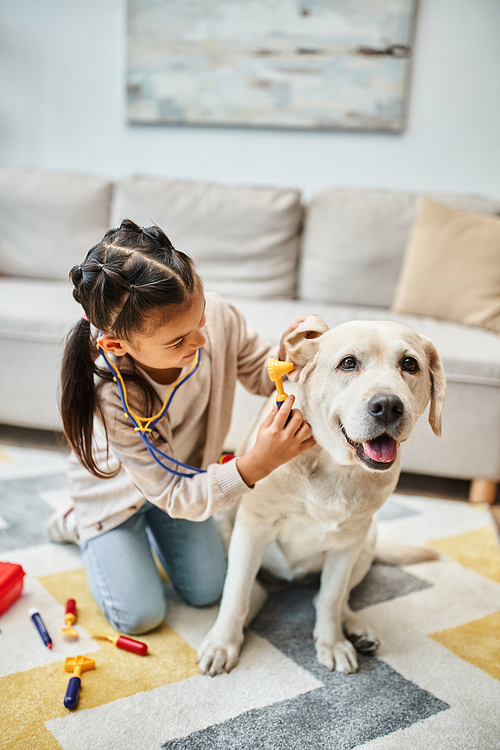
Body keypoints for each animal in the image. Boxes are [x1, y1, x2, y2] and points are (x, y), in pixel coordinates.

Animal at [198, 314, 446, 680]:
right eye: (348, 363)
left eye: (409, 364)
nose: (388, 406)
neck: (335, 465)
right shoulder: (253, 527)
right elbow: (236, 592)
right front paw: (222, 643)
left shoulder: (349, 543)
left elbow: (330, 598)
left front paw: (332, 643)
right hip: (223, 526)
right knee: (254, 590)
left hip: (368, 542)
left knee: (332, 599)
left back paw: (356, 629)